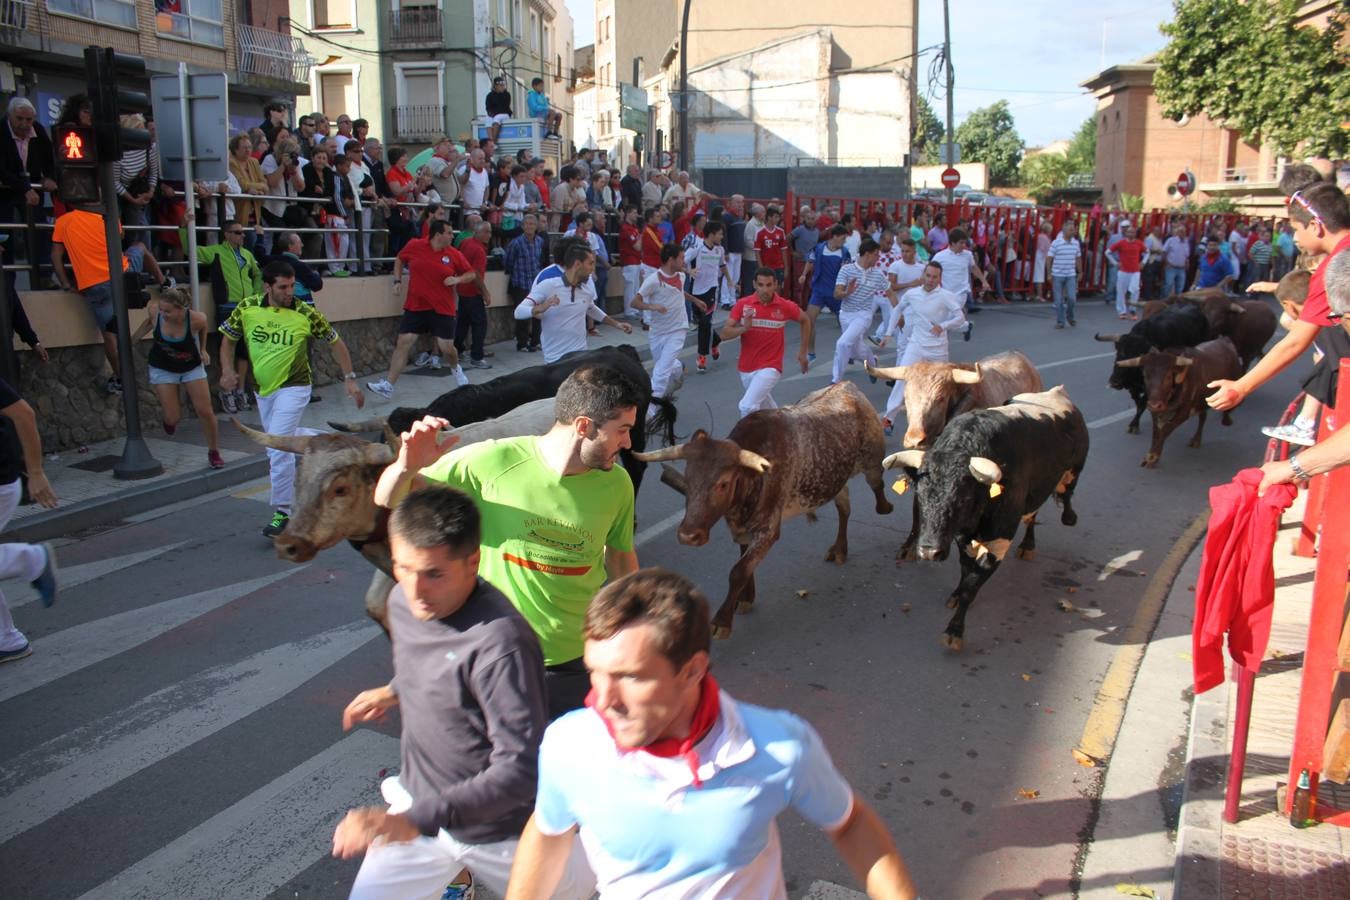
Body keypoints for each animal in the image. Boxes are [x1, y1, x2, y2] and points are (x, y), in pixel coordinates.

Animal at [634, 380, 896, 639]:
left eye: (723, 483)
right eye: (688, 478)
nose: (689, 535)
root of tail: (847, 385)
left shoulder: (768, 529)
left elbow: (738, 570)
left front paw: (722, 621)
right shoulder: (741, 527)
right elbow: (743, 559)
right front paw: (746, 597)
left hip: (871, 462)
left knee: (876, 485)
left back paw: (883, 507)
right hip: (835, 478)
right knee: (844, 507)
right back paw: (839, 548)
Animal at [864, 350, 1042, 564]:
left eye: (940, 398)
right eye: (905, 397)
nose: (913, 439)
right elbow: (918, 505)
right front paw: (910, 546)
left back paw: (1028, 546)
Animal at [880, 383, 1090, 650]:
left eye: (962, 499)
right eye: (920, 497)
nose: (928, 551)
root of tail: (1058, 393)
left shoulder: (998, 542)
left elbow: (972, 585)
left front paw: (954, 631)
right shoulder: (962, 538)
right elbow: (965, 571)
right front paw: (956, 594)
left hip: (1072, 471)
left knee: (1064, 495)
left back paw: (1061, 522)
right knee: (1032, 514)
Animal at [1090, 302, 1209, 437]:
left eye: (1138, 355)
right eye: (1118, 352)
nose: (1114, 382)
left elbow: (1142, 404)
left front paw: (1133, 425)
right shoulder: (1133, 387)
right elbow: (1138, 402)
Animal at [1112, 334, 1236, 469]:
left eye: (1168, 376)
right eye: (1145, 376)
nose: (1155, 405)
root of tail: (1225, 340)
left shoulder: (1184, 413)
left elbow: (1165, 430)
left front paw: (1153, 457)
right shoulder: (1154, 410)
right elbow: (1156, 432)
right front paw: (1150, 455)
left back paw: (1226, 420)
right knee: (1203, 417)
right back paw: (1196, 440)